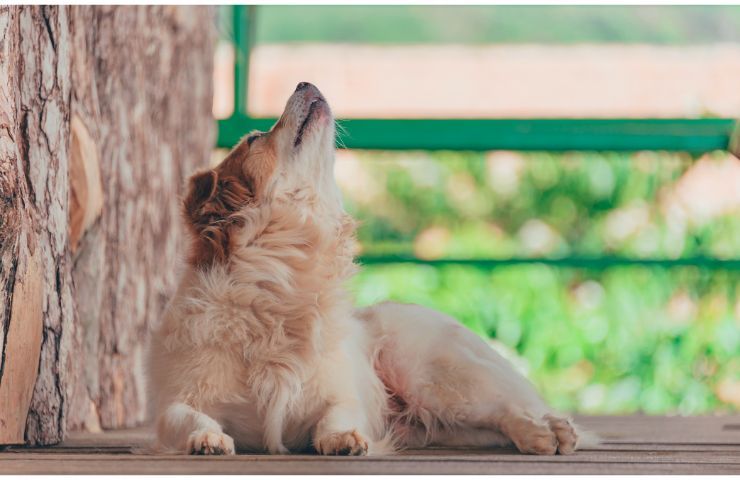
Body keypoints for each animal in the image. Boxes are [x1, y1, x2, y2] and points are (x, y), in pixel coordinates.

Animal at [147, 80, 592, 456]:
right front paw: (207, 437)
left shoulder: (341, 395)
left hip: (433, 379)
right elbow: (187, 416)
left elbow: (338, 414)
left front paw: (341, 437)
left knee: (501, 408)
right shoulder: (177, 400)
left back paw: (543, 430)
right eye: (255, 139)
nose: (304, 82)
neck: (279, 278)